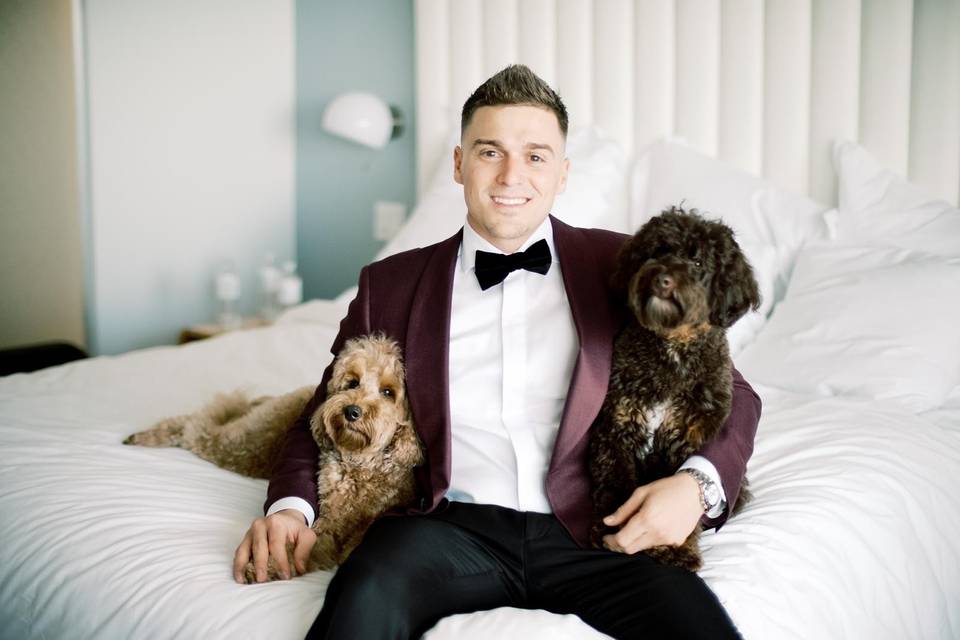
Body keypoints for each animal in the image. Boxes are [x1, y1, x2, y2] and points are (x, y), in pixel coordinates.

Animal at [122, 336, 422, 580]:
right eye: (352, 382)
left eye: (388, 392)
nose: (352, 411)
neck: (359, 463)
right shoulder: (327, 524)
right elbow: (298, 543)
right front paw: (266, 565)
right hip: (244, 441)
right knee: (195, 424)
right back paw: (146, 435)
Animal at [588, 208, 760, 572]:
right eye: (658, 251)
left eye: (697, 263)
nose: (662, 279)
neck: (673, 347)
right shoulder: (617, 428)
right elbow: (615, 486)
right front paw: (606, 530)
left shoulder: (684, 439)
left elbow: (680, 504)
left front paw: (676, 549)